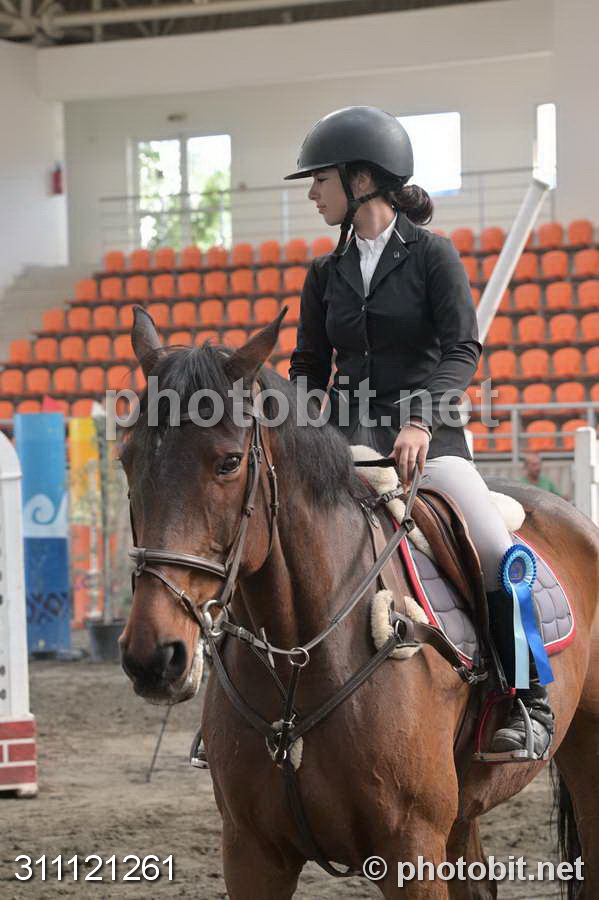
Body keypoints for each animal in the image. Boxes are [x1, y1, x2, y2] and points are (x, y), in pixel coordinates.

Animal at [119, 306, 599, 899]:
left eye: (229, 462)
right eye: (126, 460)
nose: (154, 657)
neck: (300, 658)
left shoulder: (409, 849)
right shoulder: (251, 854)